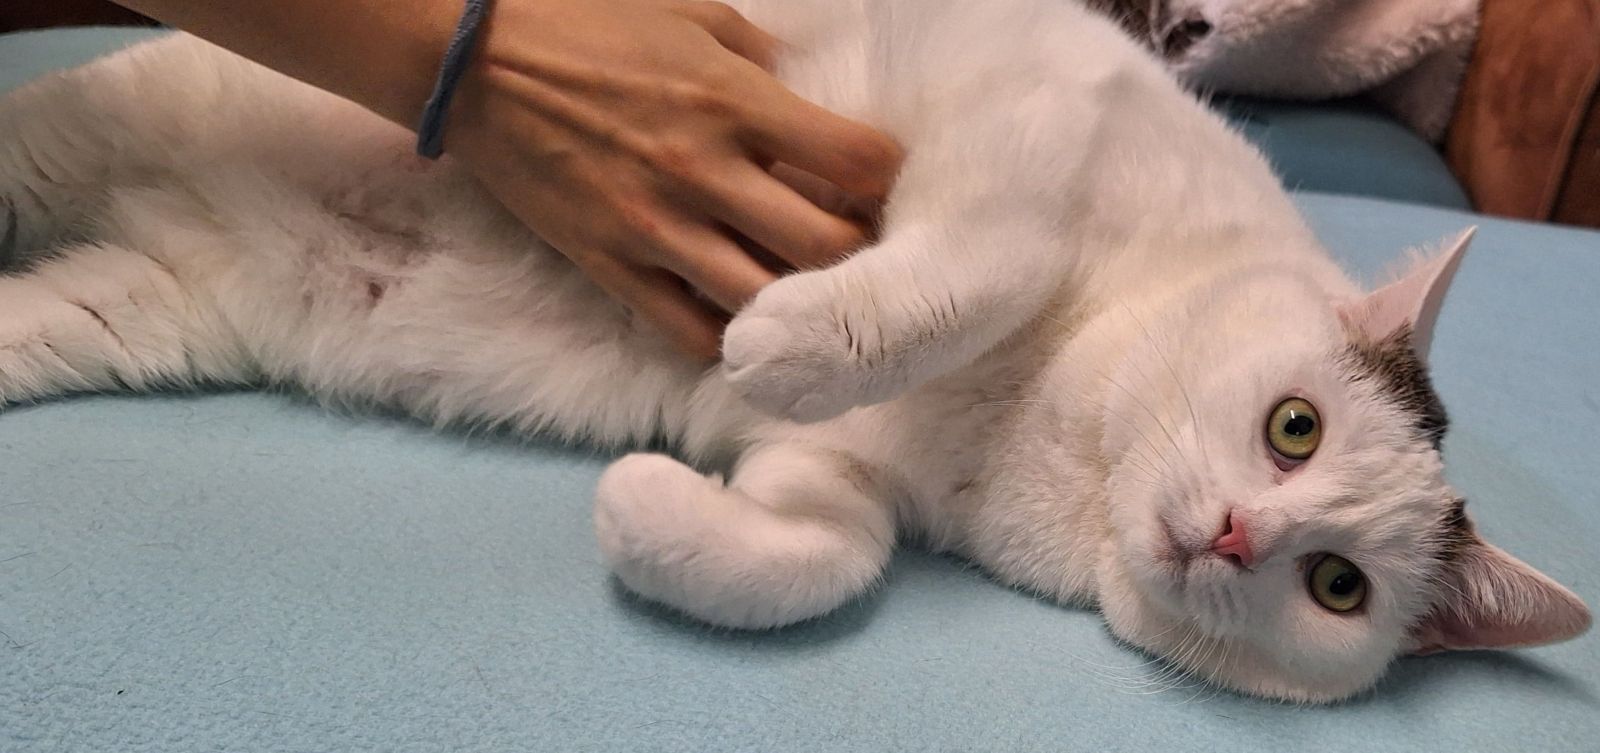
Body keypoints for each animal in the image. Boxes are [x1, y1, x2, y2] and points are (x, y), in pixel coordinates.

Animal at [0, 0, 1588, 702]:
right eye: (1294, 427)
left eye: (1336, 587)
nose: (1237, 533)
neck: (1055, 437)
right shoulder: (1039, 96)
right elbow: (995, 259)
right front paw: (785, 331)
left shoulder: (834, 482)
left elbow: (818, 562)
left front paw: (646, 513)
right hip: (111, 116)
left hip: (133, 314)